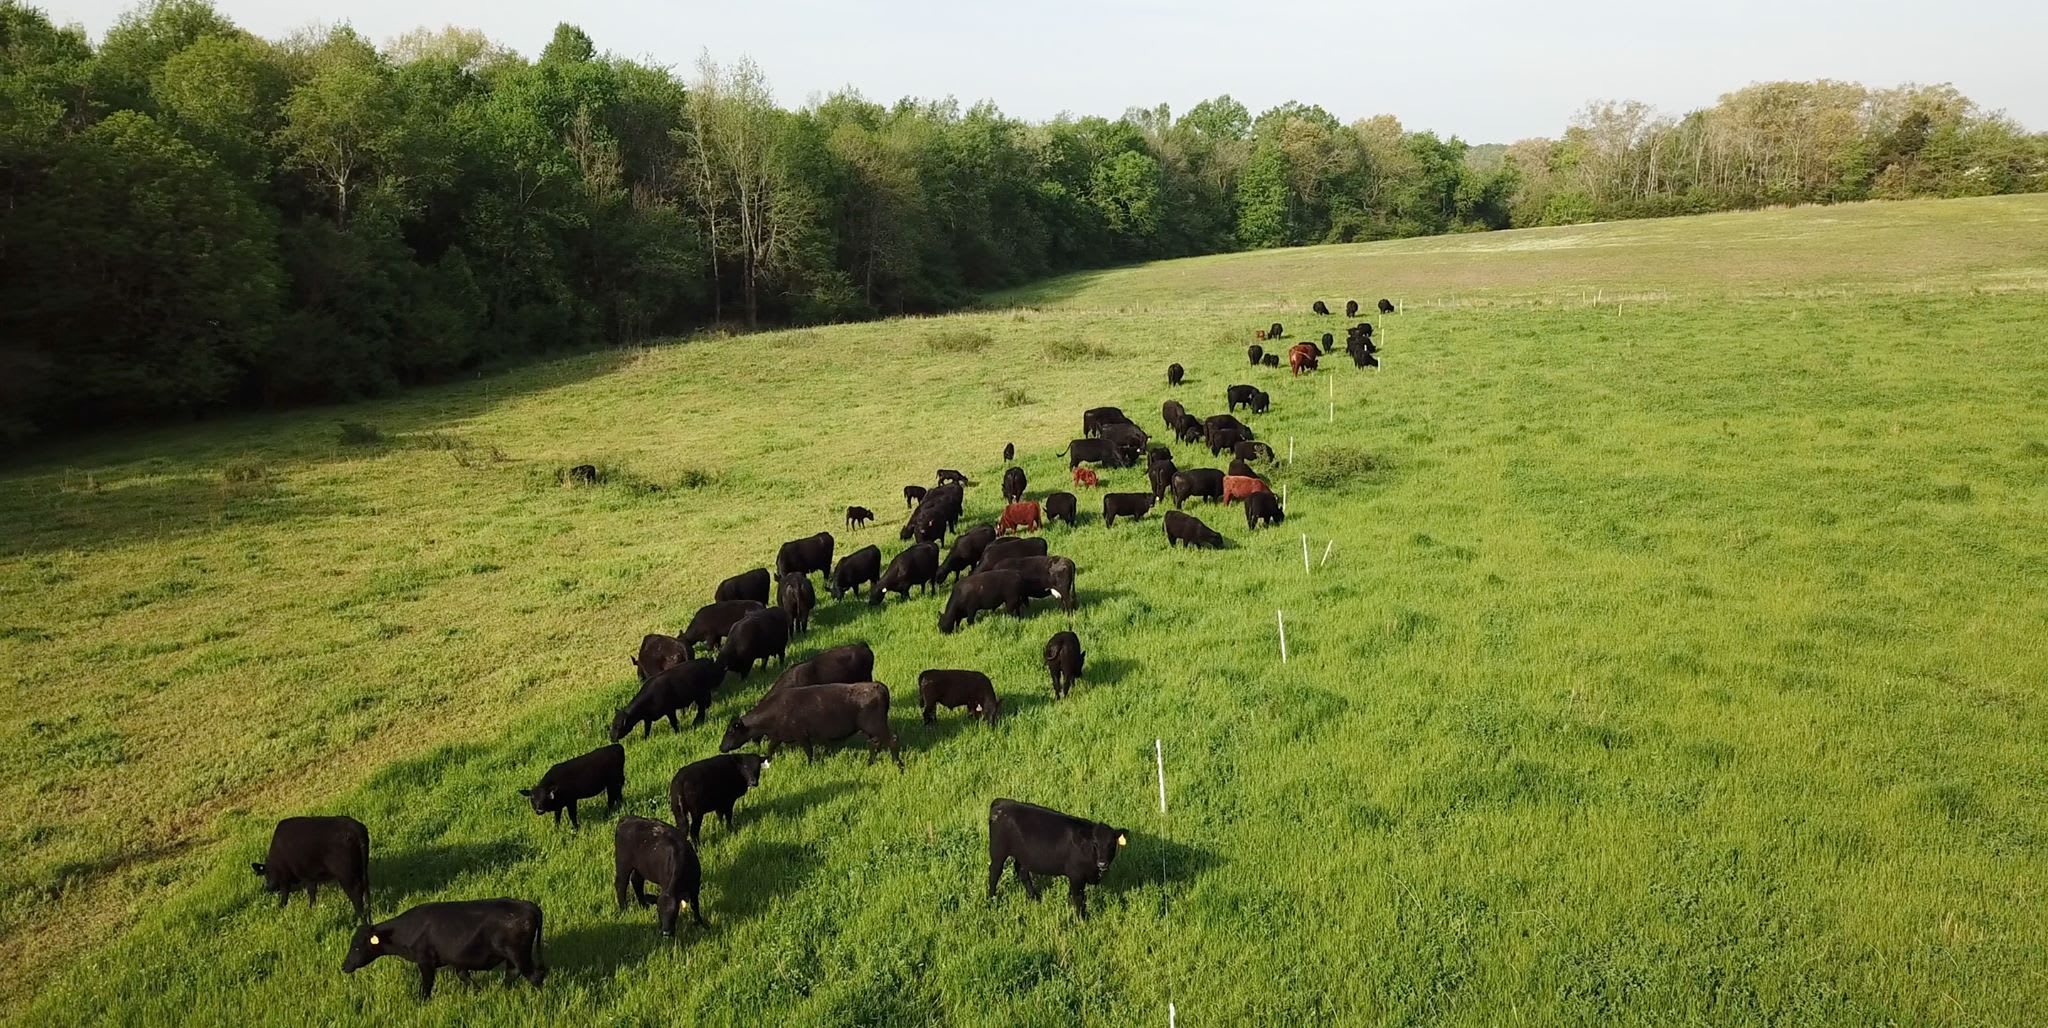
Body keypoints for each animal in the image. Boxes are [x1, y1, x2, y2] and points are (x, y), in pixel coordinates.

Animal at [342, 899, 545, 999]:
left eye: (357, 947)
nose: (344, 966)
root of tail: (529, 905)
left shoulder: (425, 961)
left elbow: (427, 985)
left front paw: (420, 1002)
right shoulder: (459, 959)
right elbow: (463, 976)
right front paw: (478, 992)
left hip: (518, 953)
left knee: (535, 977)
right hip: (513, 956)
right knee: (513, 973)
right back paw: (500, 992)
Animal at [721, 681, 902, 768]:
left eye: (730, 731)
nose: (721, 747)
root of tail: (879, 686)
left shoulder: (801, 735)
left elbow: (809, 751)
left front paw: (810, 765)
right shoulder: (779, 735)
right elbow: (771, 748)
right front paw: (766, 760)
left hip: (877, 726)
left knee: (892, 740)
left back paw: (898, 765)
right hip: (872, 729)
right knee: (875, 743)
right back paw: (870, 763)